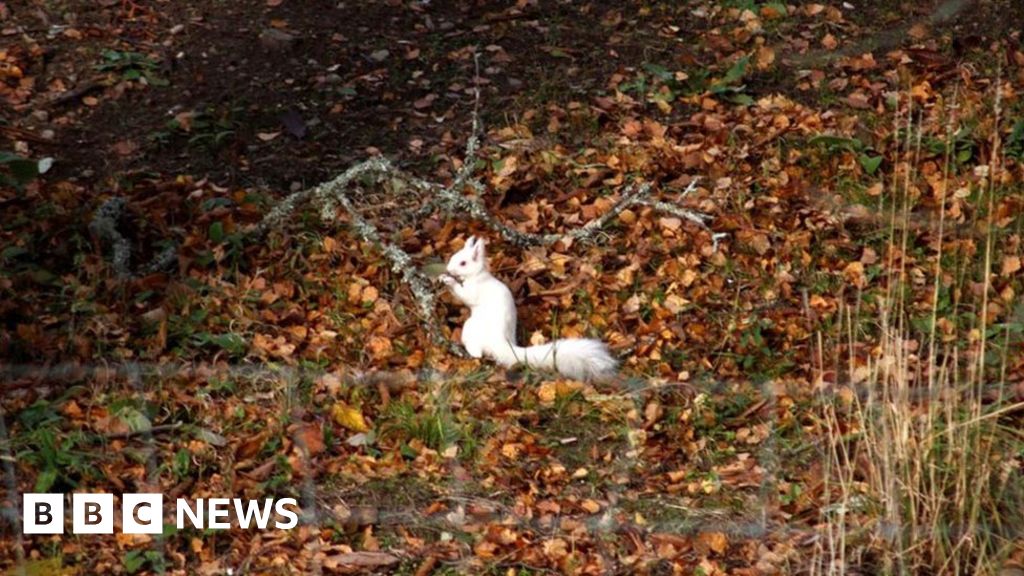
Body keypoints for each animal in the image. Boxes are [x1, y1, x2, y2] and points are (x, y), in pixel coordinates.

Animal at [439, 236, 617, 381]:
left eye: (463, 263)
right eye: (454, 256)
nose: (448, 269)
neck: (477, 276)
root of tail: (501, 344)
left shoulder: (475, 290)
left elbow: (464, 296)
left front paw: (449, 281)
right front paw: (443, 276)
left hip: (471, 328)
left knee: (477, 351)